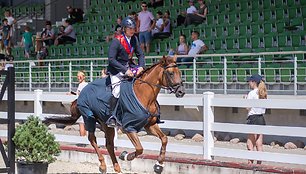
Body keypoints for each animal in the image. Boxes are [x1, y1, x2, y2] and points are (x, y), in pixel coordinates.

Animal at [43, 55, 184, 173]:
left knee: (109, 144)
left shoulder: (150, 125)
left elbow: (164, 139)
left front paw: (159, 165)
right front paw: (125, 155)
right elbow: (139, 149)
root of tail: (82, 92)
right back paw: (103, 165)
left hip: (106, 124)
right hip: (89, 117)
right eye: (170, 73)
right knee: (92, 139)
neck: (144, 95)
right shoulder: (128, 127)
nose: (181, 92)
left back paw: (116, 167)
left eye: (180, 72)